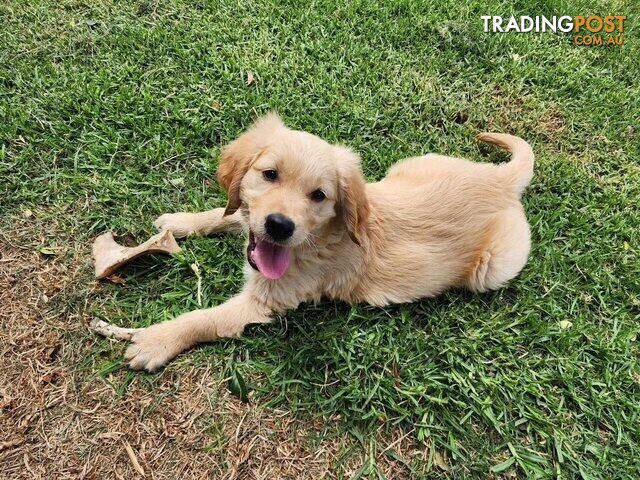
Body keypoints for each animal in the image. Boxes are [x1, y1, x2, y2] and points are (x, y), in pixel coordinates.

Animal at [126, 112, 536, 372]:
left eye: (319, 196)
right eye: (269, 174)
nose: (279, 226)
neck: (317, 239)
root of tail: (500, 179)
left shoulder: (265, 300)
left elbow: (205, 318)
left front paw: (157, 340)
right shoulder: (249, 220)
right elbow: (227, 214)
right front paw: (180, 222)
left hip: (494, 266)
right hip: (409, 165)